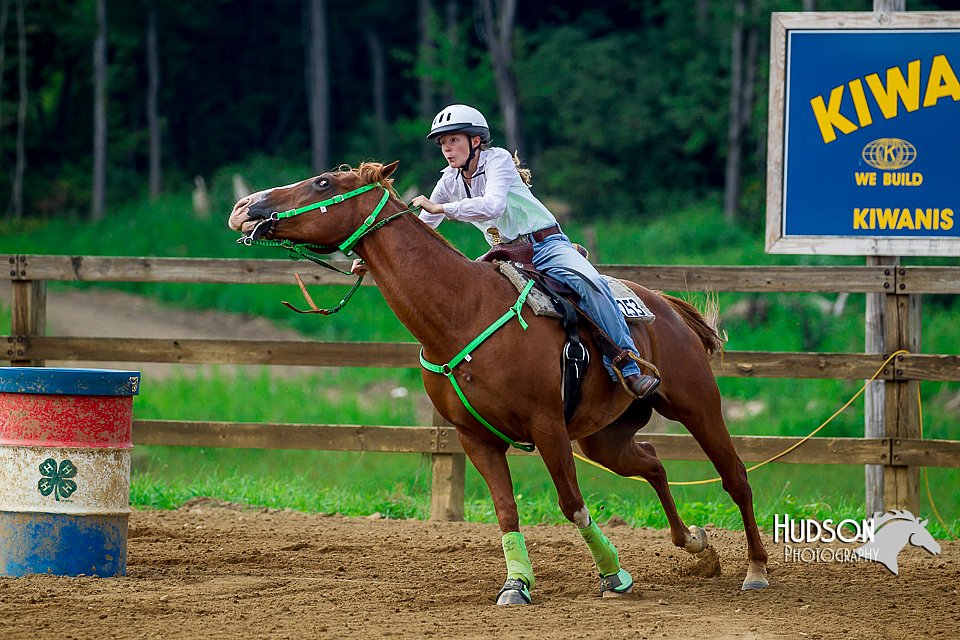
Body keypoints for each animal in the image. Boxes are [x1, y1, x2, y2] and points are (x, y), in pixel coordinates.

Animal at [227, 162, 772, 604]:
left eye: (322, 182)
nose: (243, 208)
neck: (464, 311)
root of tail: (667, 307)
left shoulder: (548, 427)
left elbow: (572, 505)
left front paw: (614, 576)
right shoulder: (476, 438)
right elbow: (506, 511)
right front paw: (517, 585)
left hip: (696, 405)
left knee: (736, 478)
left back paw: (756, 571)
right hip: (603, 437)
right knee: (654, 464)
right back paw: (697, 546)